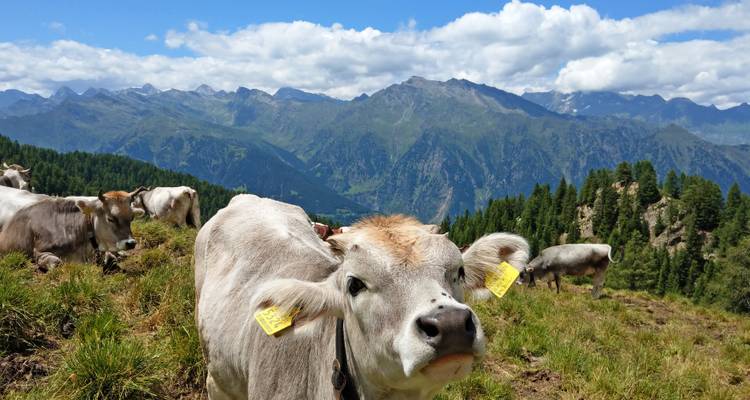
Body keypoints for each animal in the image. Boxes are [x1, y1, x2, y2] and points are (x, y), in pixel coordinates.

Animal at [0, 188, 146, 271]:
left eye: (131, 217)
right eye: (110, 218)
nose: (131, 243)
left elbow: (112, 258)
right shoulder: (39, 251)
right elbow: (56, 263)